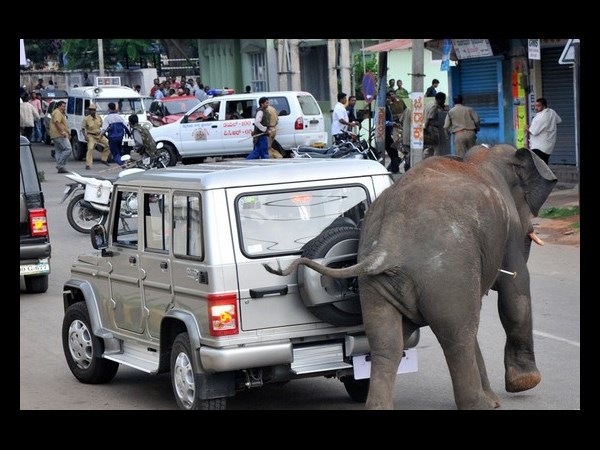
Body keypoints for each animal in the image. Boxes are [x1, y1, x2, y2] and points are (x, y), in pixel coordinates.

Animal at [264, 146, 560, 410]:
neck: (478, 159)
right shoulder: (508, 231)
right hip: (445, 272)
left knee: (387, 344)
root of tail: (388, 242)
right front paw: (525, 382)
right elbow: (515, 291)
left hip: (380, 284)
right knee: (458, 335)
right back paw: (481, 406)